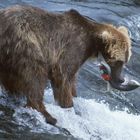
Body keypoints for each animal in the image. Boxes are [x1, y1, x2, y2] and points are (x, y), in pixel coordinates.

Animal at [0, 4, 138, 124]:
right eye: (118, 61)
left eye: (125, 61)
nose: (121, 79)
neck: (92, 42)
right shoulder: (71, 47)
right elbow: (63, 77)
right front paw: (68, 105)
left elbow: (72, 79)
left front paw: (75, 96)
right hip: (26, 43)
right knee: (35, 75)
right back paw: (49, 116)